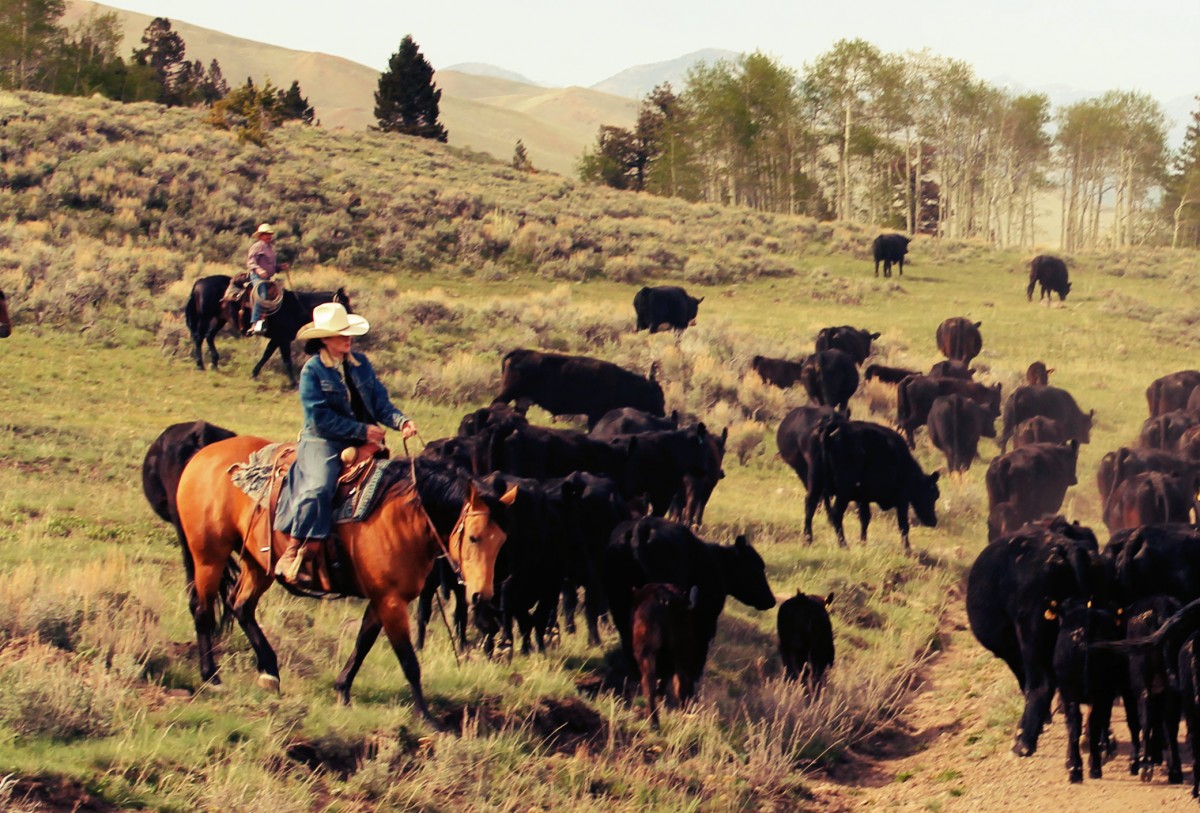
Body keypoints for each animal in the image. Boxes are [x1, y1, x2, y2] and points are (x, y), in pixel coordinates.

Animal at [175, 438, 516, 724]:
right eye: (473, 537)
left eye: (501, 542)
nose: (481, 596)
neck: (406, 516)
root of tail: (201, 457)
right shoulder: (391, 601)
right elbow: (408, 660)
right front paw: (427, 717)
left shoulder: (382, 598)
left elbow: (363, 643)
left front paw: (342, 690)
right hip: (209, 556)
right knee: (203, 609)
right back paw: (212, 677)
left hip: (257, 562)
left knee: (241, 605)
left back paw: (270, 672)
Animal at [494, 347, 667, 429]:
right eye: (657, 394)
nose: (662, 413)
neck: (622, 381)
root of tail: (519, 352)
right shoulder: (596, 413)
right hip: (508, 393)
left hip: (521, 400)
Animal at [806, 424, 936, 551]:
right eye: (933, 495)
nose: (933, 521)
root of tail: (830, 435)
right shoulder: (902, 500)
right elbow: (904, 525)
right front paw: (907, 549)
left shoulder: (863, 498)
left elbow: (865, 519)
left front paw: (863, 543)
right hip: (843, 493)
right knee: (836, 514)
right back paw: (843, 544)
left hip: (816, 483)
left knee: (810, 505)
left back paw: (807, 539)